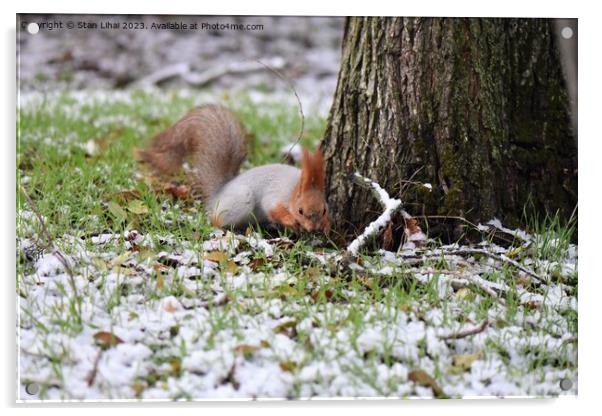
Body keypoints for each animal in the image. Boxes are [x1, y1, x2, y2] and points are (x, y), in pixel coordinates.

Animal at [135, 104, 328, 234]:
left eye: (324, 209)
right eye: (300, 210)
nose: (314, 229)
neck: (295, 188)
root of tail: (218, 194)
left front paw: (327, 226)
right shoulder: (276, 194)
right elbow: (273, 208)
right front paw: (290, 220)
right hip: (241, 200)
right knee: (216, 219)